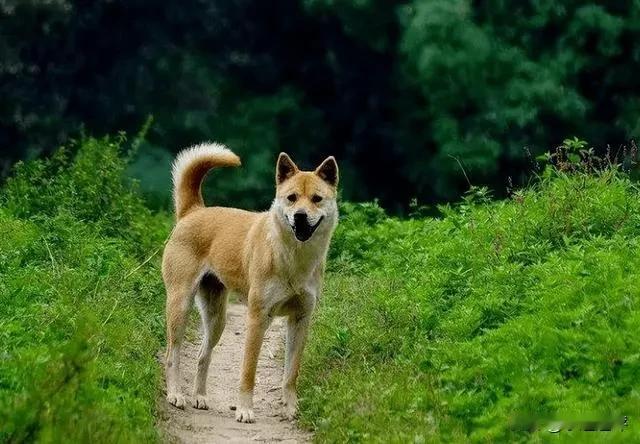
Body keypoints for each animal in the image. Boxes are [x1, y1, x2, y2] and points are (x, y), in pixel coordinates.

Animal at [162, 142, 338, 424]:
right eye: (291, 198)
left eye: (316, 199)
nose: (300, 217)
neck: (292, 258)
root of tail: (194, 211)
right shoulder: (257, 318)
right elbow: (248, 372)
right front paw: (245, 410)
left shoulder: (300, 320)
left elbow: (291, 374)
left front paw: (291, 409)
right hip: (180, 305)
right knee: (172, 354)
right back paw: (175, 395)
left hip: (216, 318)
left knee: (202, 356)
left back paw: (199, 397)